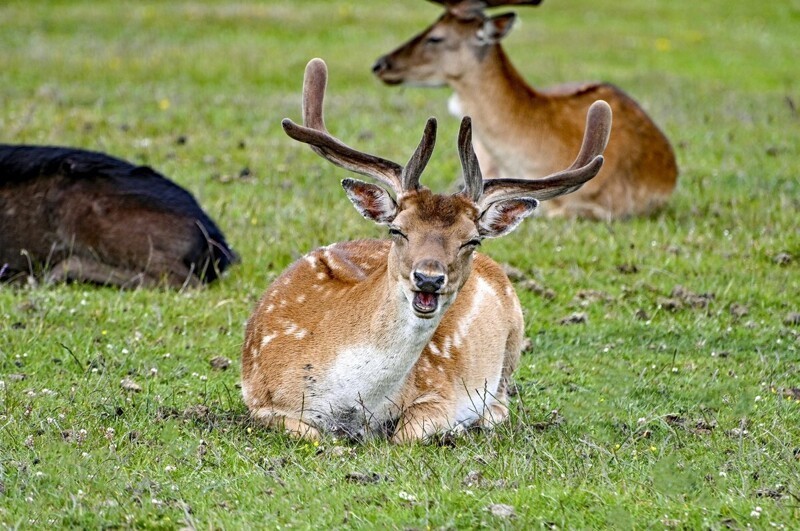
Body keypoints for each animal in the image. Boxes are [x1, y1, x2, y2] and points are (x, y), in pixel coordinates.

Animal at [241, 58, 608, 442]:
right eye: (397, 229)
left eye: (471, 240)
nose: (429, 278)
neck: (350, 403)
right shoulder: (260, 400)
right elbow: (315, 434)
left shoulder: (440, 391)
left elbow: (404, 435)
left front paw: (453, 428)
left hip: (513, 340)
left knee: (501, 405)